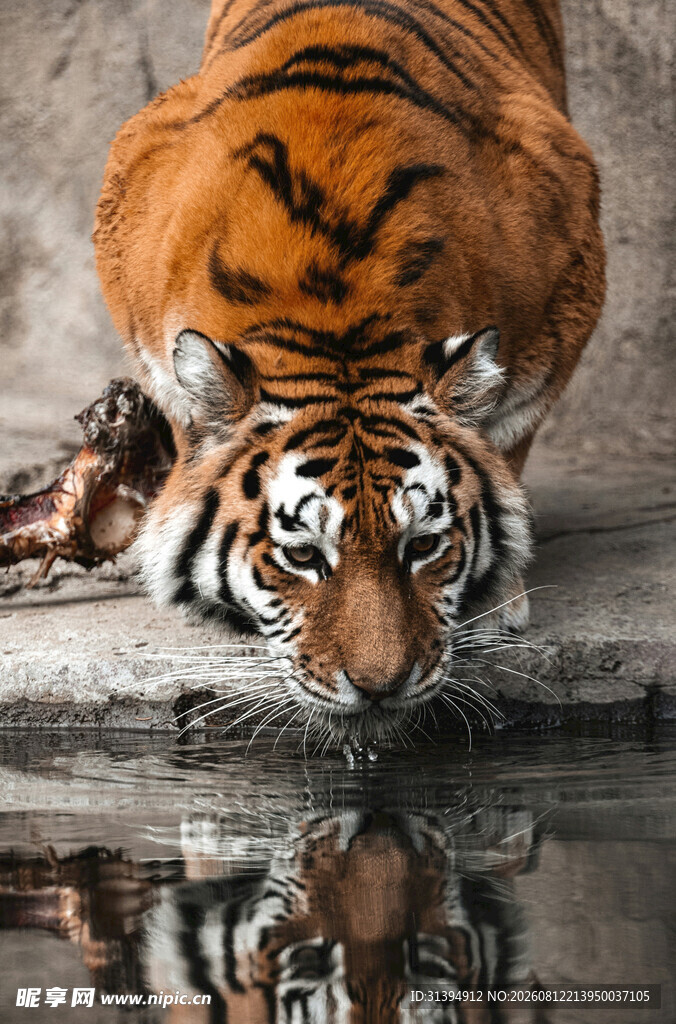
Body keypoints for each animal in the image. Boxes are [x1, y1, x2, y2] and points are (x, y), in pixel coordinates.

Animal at [93, 0, 605, 741]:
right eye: (303, 556)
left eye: (424, 545)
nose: (379, 688)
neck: (336, 317)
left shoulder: (564, 296)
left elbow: (506, 444)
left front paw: (495, 598)